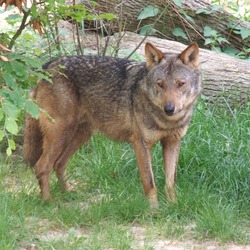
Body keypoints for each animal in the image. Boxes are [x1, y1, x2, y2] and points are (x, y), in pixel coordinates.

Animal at [23, 42, 202, 207]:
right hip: (61, 134)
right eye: (160, 84)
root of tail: (46, 65)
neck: (166, 121)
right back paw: (48, 202)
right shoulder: (141, 144)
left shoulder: (172, 142)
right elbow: (150, 182)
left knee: (59, 164)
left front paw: (173, 206)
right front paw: (154, 210)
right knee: (42, 167)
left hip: (80, 135)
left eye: (180, 84)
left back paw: (69, 192)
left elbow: (170, 182)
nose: (169, 109)